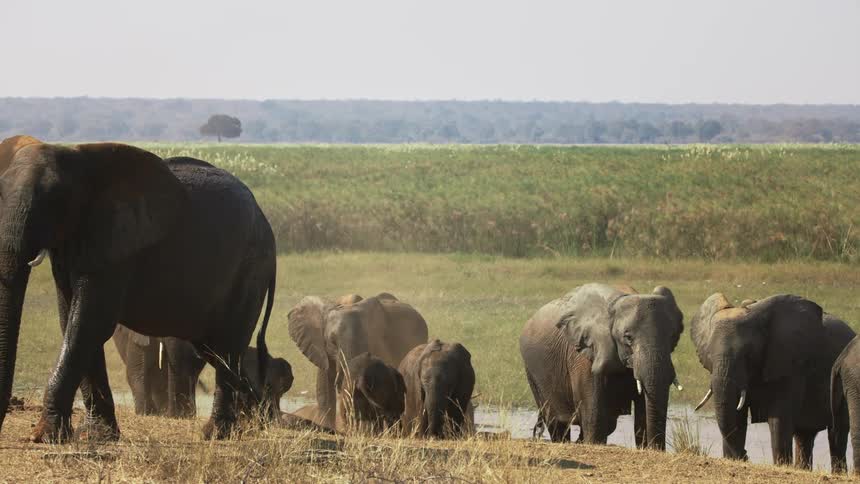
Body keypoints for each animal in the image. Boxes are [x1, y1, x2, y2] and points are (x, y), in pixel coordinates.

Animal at [0, 136, 278, 442]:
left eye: (56, 201)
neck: (79, 159)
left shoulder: (117, 245)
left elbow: (88, 324)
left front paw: (46, 436)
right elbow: (71, 320)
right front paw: (99, 435)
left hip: (251, 267)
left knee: (227, 346)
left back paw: (217, 433)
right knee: (214, 349)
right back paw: (253, 421)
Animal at [520, 283, 684, 449]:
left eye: (673, 336)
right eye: (628, 337)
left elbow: (642, 418)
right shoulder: (584, 355)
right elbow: (595, 418)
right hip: (533, 374)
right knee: (556, 423)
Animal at [691, 293, 855, 470]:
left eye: (749, 354)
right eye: (709, 354)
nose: (746, 456)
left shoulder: (790, 366)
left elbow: (779, 421)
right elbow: (737, 417)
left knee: (837, 433)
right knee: (805, 435)